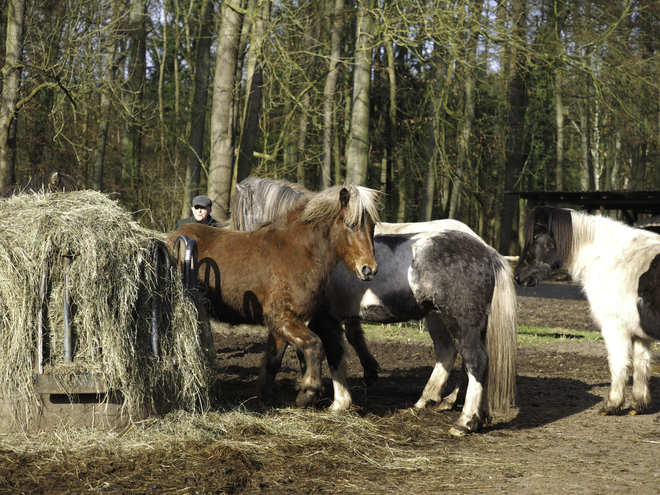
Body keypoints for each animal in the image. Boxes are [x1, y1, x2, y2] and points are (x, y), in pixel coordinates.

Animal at [166, 184, 382, 408]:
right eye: (350, 225)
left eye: (372, 225)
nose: (369, 270)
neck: (297, 252)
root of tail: (170, 238)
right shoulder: (282, 317)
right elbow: (315, 345)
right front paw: (307, 392)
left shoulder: (280, 324)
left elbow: (273, 360)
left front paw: (265, 397)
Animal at [229, 177, 520, 434]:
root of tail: (487, 251)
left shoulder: (324, 317)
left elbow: (332, 353)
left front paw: (337, 403)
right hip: (446, 317)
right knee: (453, 355)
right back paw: (442, 404)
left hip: (459, 320)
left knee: (475, 361)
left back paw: (465, 420)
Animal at [516, 207, 660, 416]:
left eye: (535, 236)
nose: (518, 276)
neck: (611, 259)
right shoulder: (639, 332)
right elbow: (641, 364)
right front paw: (638, 405)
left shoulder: (614, 326)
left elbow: (618, 363)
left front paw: (612, 405)